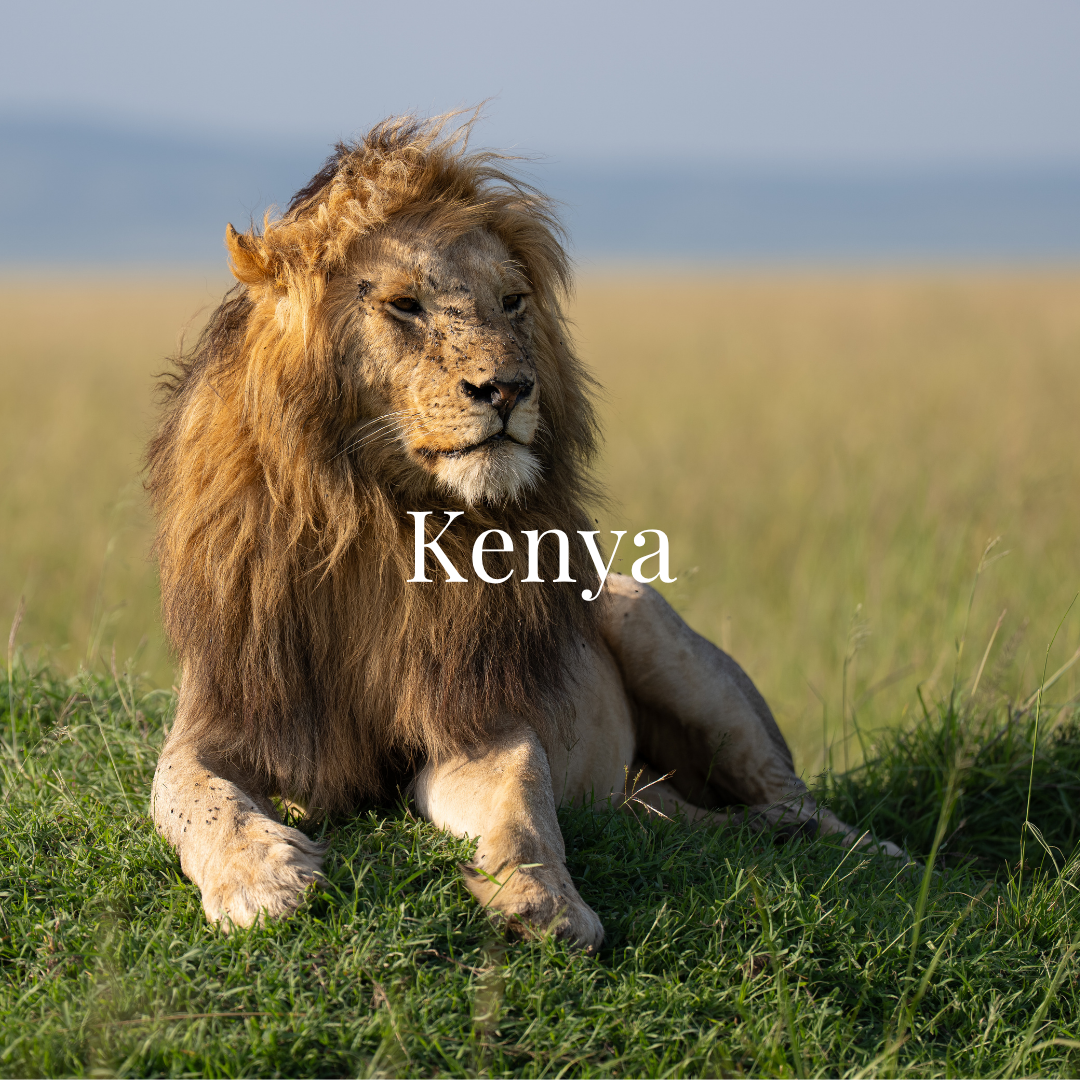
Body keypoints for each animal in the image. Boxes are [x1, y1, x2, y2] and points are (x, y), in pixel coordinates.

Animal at [147, 114, 889, 950]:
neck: (375, 518)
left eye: (511, 302)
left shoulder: (476, 715)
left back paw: (856, 849)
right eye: (404, 305)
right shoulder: (222, 716)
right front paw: (261, 880)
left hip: (646, 619)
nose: (507, 388)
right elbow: (193, 796)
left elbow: (522, 800)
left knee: (792, 795)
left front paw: (543, 900)